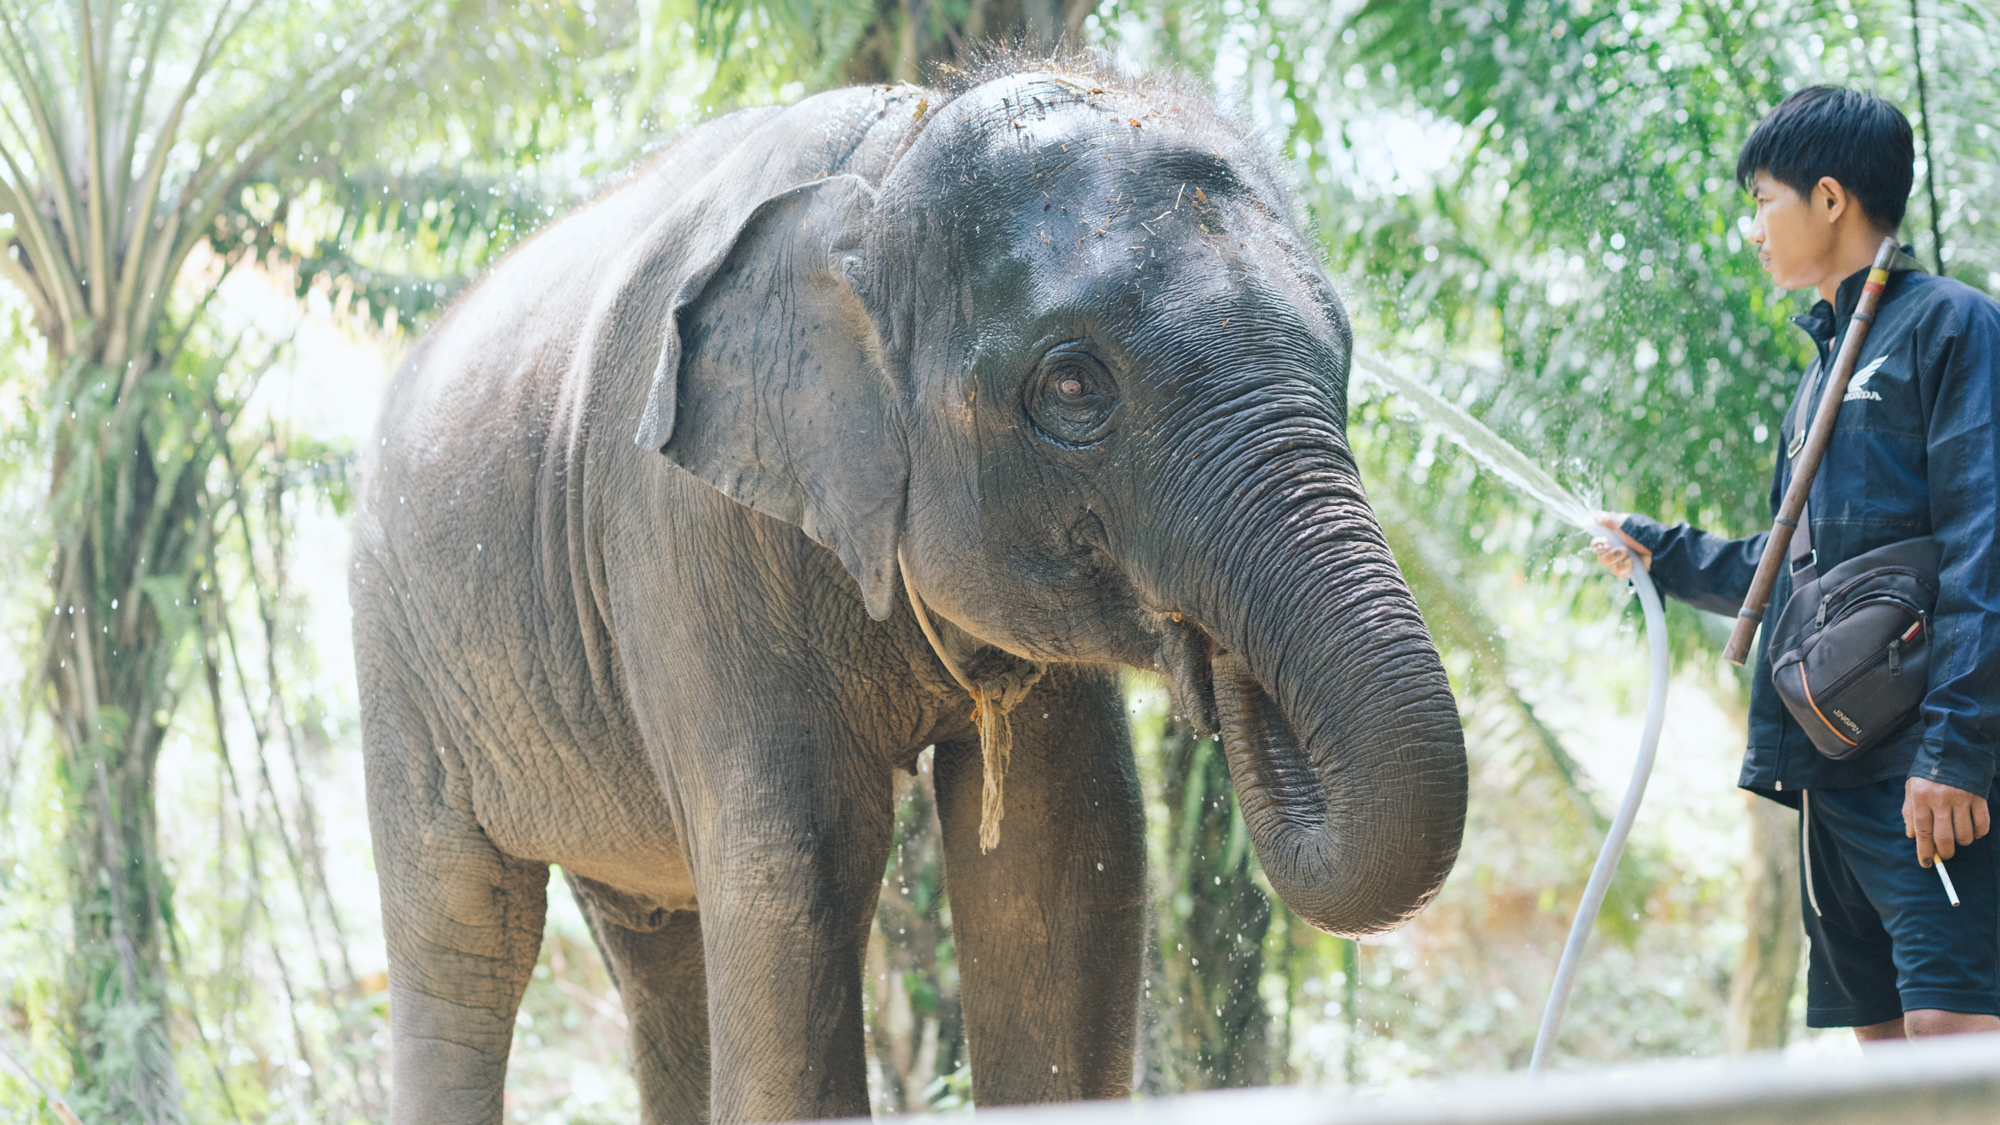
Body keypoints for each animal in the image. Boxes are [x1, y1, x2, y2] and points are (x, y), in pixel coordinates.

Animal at [348, 63, 1472, 1120]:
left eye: (1341, 355)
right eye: (1073, 386)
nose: (1222, 664)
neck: (892, 161)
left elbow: (1062, 864)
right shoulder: (685, 534)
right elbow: (796, 870)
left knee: (656, 949)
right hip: (398, 654)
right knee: (464, 938)